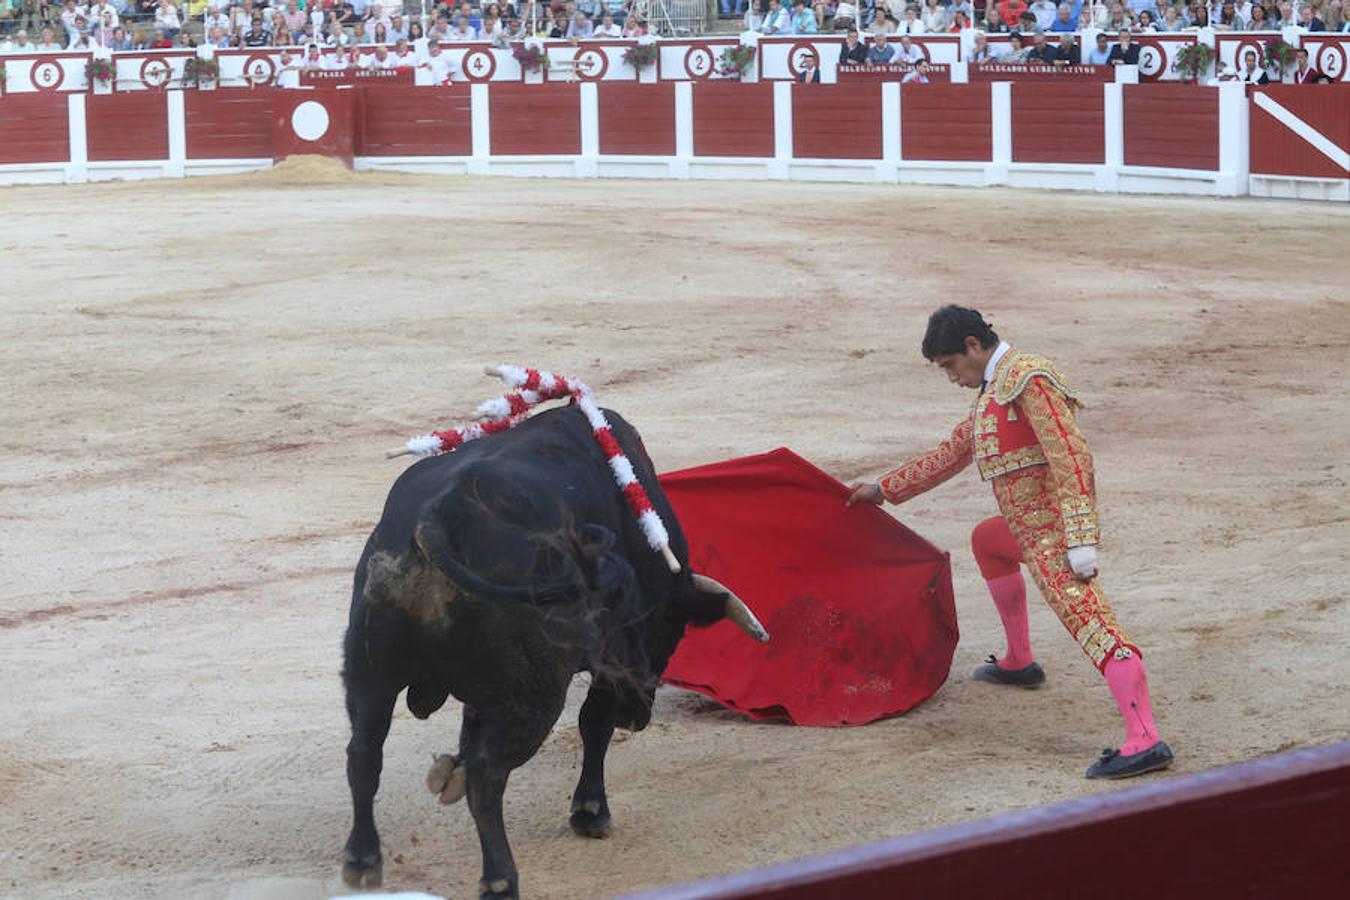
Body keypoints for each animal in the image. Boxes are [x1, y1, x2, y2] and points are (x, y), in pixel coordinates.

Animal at [342, 404, 766, 895]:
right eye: (672, 634)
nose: (638, 717)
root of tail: (439, 518)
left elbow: (470, 728)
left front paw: (451, 771)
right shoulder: (610, 659)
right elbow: (594, 722)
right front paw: (590, 812)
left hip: (369, 673)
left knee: (364, 753)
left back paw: (362, 859)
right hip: (534, 693)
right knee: (489, 774)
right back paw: (500, 878)